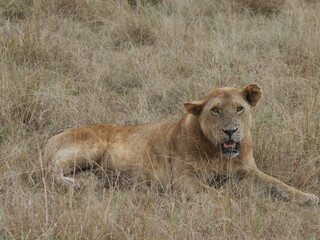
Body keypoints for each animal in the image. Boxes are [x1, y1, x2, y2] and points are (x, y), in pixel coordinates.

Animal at [43, 84, 318, 204]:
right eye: (215, 110)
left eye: (240, 108)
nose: (230, 131)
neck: (217, 152)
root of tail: (52, 136)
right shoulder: (182, 180)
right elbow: (214, 193)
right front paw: (233, 204)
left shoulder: (249, 171)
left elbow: (279, 184)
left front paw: (307, 197)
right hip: (92, 146)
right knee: (49, 170)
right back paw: (76, 183)